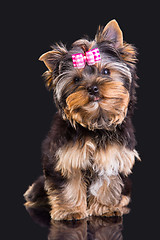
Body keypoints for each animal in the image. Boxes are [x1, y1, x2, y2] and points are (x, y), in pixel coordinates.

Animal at [23, 19, 140, 220]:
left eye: (106, 72)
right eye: (76, 80)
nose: (92, 88)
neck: (96, 123)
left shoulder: (112, 156)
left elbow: (108, 183)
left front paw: (106, 208)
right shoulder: (65, 157)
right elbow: (69, 184)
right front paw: (70, 211)